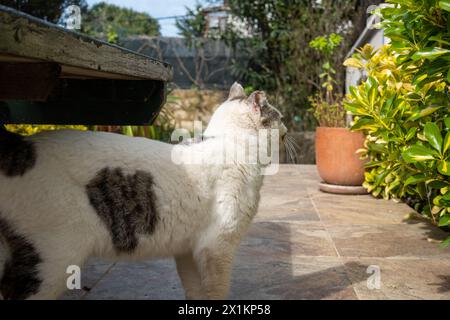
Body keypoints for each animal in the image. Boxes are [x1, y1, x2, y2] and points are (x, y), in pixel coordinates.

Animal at [0, 82, 286, 300]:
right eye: (280, 117)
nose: (285, 127)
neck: (231, 143)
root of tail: (19, 148)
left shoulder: (188, 251)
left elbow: (195, 291)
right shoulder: (217, 247)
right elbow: (217, 292)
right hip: (52, 262)